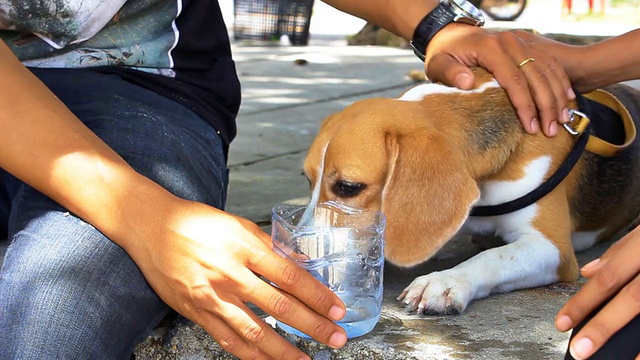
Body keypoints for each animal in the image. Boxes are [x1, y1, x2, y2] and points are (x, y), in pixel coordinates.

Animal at [302, 68, 640, 316]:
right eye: (307, 179)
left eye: (348, 187)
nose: (302, 256)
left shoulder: (554, 249)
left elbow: (496, 257)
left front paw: (446, 280)